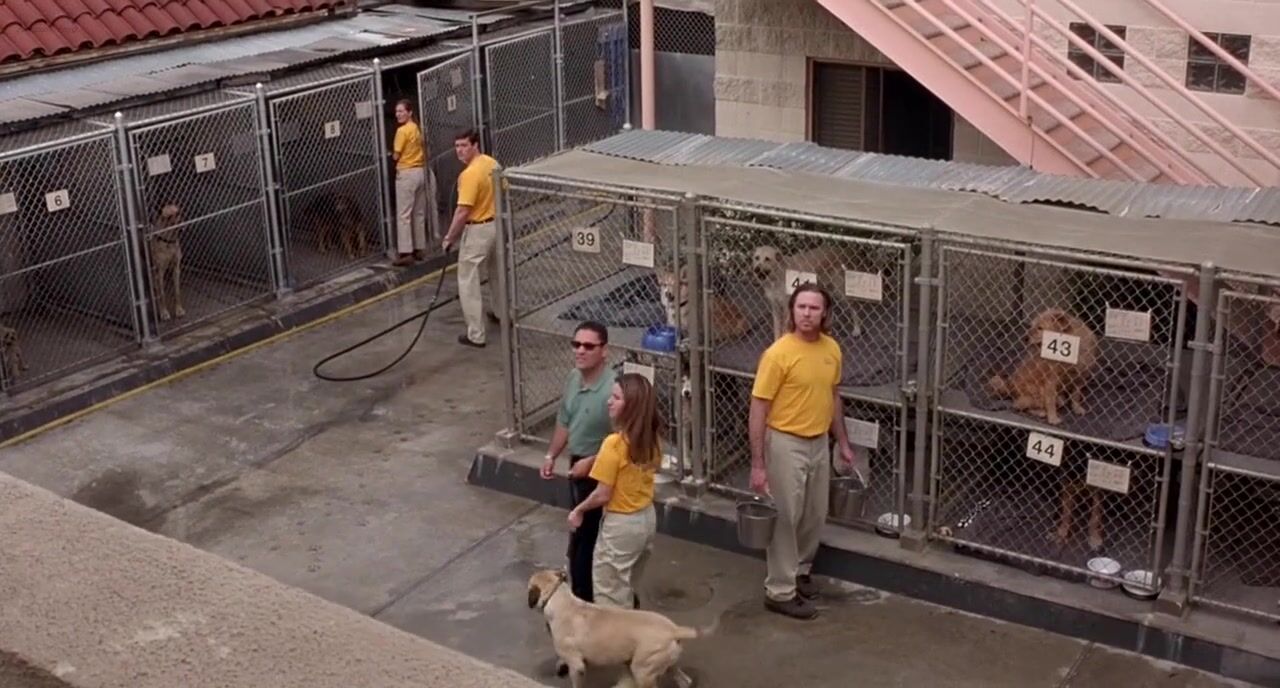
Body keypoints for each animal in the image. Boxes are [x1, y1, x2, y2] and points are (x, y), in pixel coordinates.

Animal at [527, 568, 713, 688]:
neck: (562, 600)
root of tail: (674, 629)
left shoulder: (577, 667)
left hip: (643, 671)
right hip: (667, 665)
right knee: (685, 681)